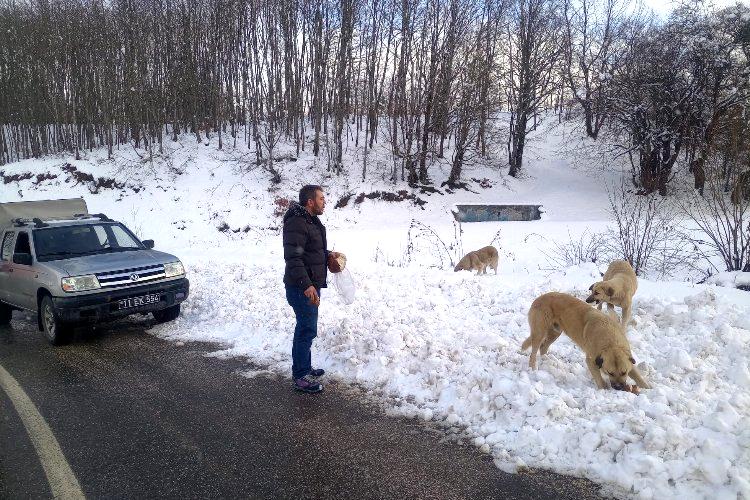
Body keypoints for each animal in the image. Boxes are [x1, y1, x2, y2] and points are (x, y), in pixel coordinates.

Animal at [524, 292, 652, 392]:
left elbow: (638, 376)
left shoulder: (628, 360)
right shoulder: (591, 360)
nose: (618, 388)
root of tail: (538, 298)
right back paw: (533, 368)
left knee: (543, 347)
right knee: (533, 352)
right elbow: (599, 379)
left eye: (624, 372)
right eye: (609, 373)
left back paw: (547, 360)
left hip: (555, 332)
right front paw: (604, 389)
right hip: (539, 332)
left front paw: (648, 388)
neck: (611, 343)